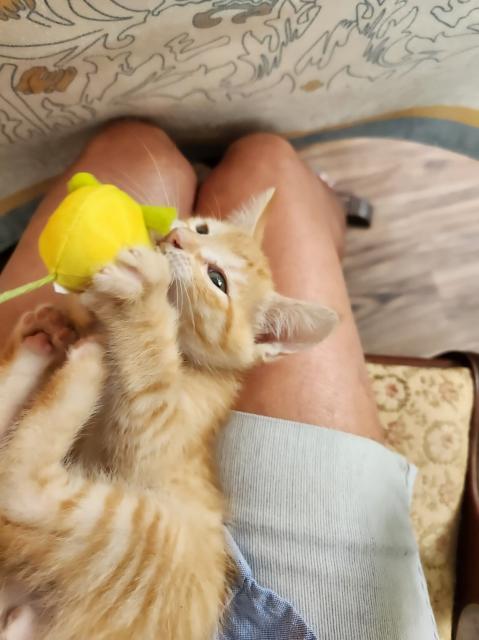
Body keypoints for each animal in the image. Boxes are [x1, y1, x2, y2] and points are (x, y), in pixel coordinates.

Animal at [0, 191, 338, 640]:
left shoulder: (156, 438)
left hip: (147, 536)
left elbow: (149, 383)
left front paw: (139, 296)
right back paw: (37, 339)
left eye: (217, 280)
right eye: (202, 229)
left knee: (18, 487)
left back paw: (87, 361)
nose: (176, 238)